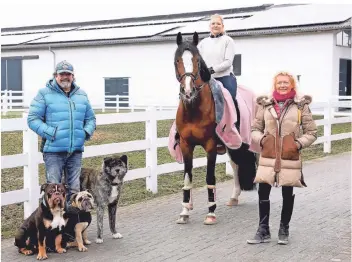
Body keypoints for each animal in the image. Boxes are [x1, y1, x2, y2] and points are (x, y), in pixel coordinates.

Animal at [175, 32, 258, 225]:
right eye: (177, 60)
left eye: (197, 60)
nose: (188, 91)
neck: (194, 109)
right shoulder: (185, 145)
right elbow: (187, 178)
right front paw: (184, 211)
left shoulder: (210, 145)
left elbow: (209, 177)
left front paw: (211, 213)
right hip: (233, 146)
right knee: (236, 166)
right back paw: (234, 197)